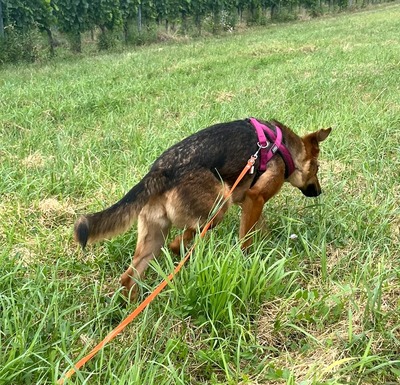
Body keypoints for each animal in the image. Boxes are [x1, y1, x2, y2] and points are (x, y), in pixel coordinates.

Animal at [75, 118, 332, 298]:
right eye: (317, 168)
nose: (319, 192)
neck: (285, 148)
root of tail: (159, 171)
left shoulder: (249, 201)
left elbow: (260, 227)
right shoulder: (255, 197)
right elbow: (246, 239)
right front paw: (248, 261)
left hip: (154, 237)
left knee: (129, 277)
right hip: (218, 208)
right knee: (177, 243)